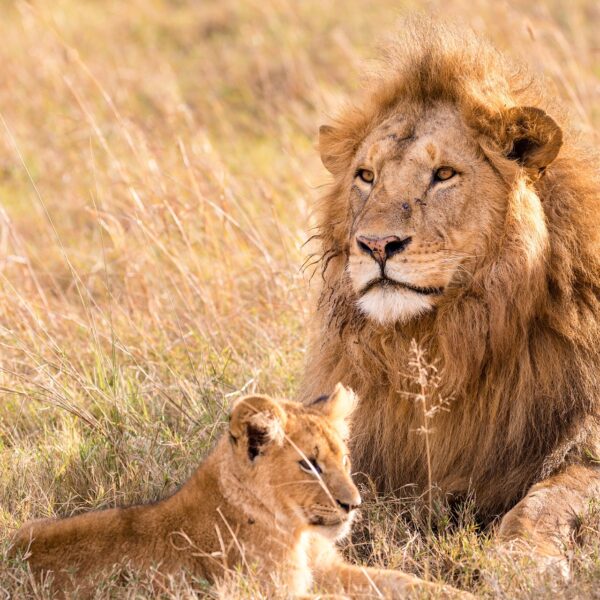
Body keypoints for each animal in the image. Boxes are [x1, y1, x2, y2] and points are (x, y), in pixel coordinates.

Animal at [302, 22, 600, 564]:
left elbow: (546, 498)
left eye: (443, 175)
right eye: (366, 176)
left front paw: (523, 560)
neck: (446, 342)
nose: (376, 244)